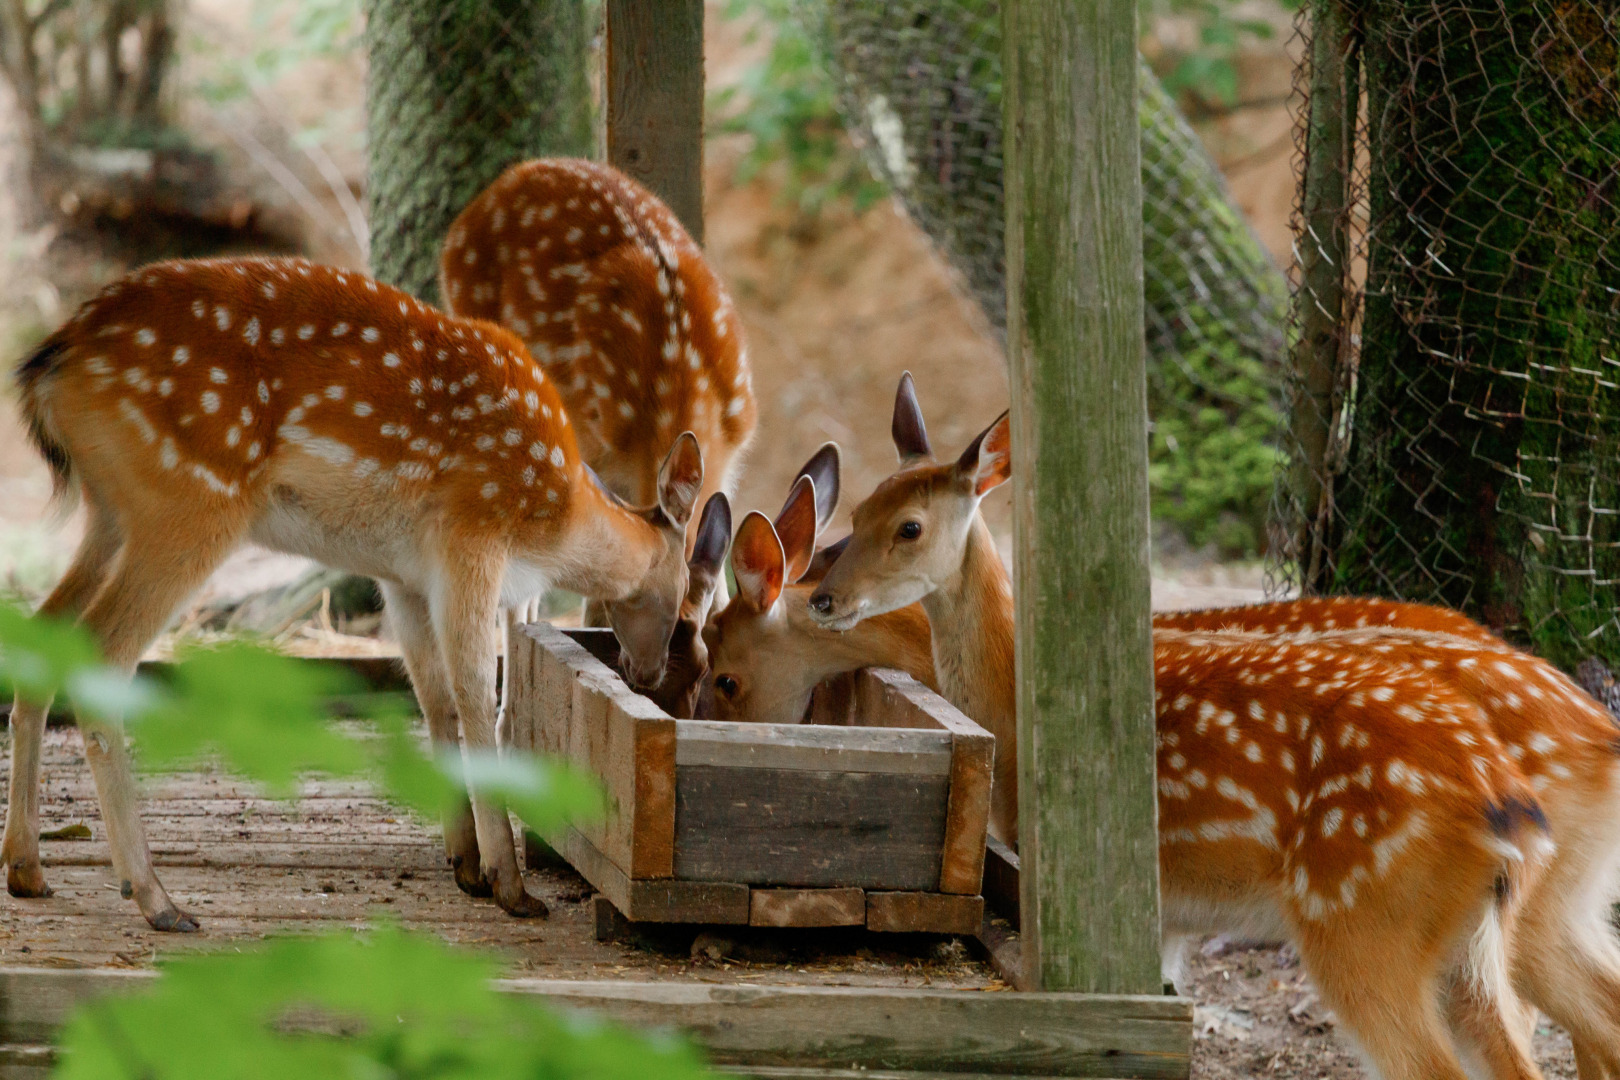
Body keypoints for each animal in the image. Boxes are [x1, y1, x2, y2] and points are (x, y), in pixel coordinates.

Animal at [3, 255, 706, 932]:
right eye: (689, 607)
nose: (646, 675)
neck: (555, 517)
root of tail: (53, 362)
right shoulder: (471, 534)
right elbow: (478, 697)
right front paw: (510, 885)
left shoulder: (403, 575)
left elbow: (436, 700)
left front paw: (466, 864)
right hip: (190, 499)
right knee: (104, 657)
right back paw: (157, 898)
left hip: (111, 513)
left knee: (46, 637)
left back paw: (28, 868)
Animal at [803, 374, 1620, 1080]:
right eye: (858, 512)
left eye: (909, 527)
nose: (823, 598)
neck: (1011, 701)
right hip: (1498, 930)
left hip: (1366, 918)